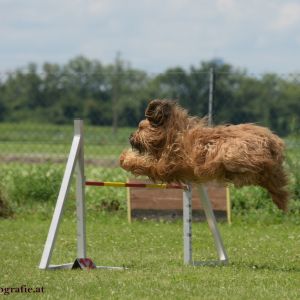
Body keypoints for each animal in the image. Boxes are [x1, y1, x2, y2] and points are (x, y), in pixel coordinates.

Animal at [119, 99, 288, 211]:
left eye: (140, 128)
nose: (130, 136)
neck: (170, 136)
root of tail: (272, 141)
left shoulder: (165, 165)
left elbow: (144, 163)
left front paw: (124, 158)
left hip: (234, 154)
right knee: (274, 180)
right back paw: (281, 199)